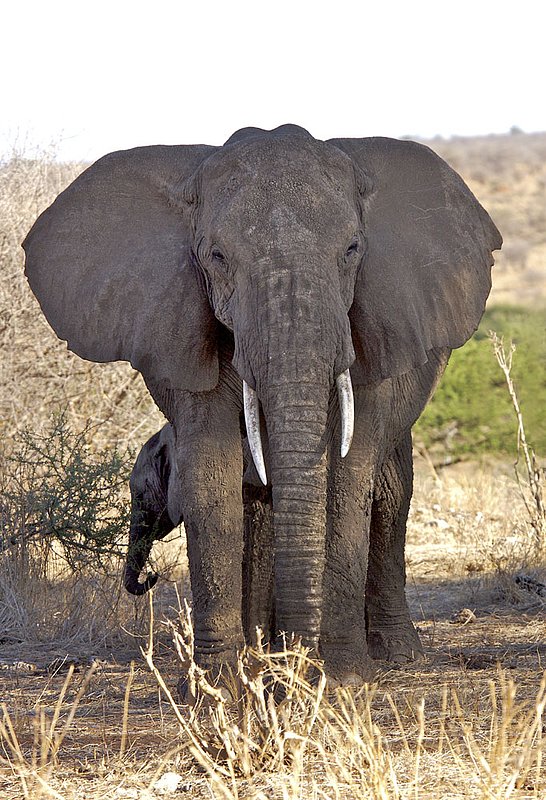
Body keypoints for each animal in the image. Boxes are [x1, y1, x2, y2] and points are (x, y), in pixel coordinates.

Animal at [23, 124, 501, 686]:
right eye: (216, 257)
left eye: (352, 250)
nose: (153, 577)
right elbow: (211, 476)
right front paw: (216, 686)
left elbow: (350, 473)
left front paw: (343, 678)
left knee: (389, 491)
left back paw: (393, 654)